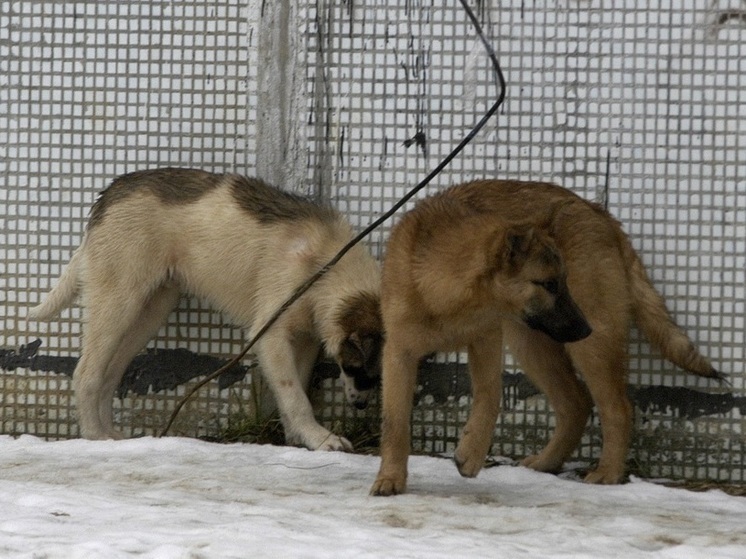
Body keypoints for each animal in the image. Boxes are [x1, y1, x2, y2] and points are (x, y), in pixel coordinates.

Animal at [372, 179, 720, 494]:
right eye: (549, 284)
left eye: (562, 281)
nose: (585, 328)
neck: (445, 291)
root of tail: (599, 213)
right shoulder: (399, 354)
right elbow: (395, 423)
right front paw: (390, 478)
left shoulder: (487, 340)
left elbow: (490, 398)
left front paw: (470, 453)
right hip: (533, 345)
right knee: (576, 403)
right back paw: (548, 462)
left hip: (583, 348)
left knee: (618, 408)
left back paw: (608, 472)